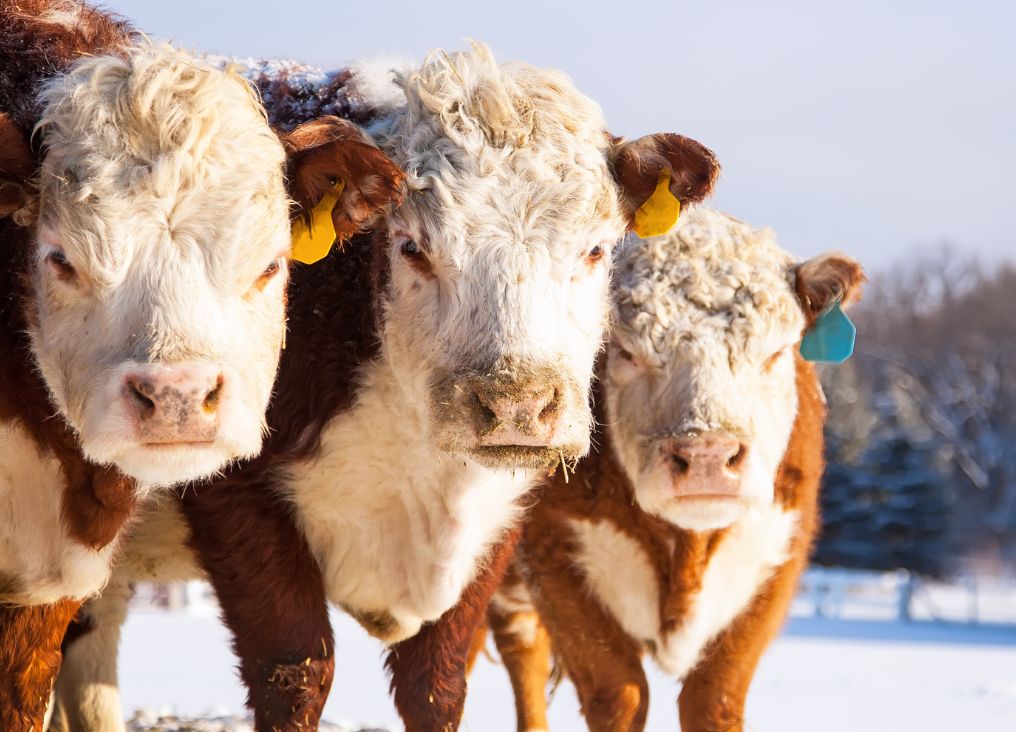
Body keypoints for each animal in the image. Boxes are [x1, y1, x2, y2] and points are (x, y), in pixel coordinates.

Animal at [51, 44, 723, 732]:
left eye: (594, 250)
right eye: (412, 247)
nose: (517, 404)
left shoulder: (493, 528)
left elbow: (436, 685)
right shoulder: (239, 500)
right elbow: (295, 669)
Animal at [481, 207, 865, 732]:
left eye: (775, 352)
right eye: (625, 351)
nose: (707, 455)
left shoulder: (777, 561)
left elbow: (713, 698)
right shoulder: (554, 558)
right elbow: (618, 694)